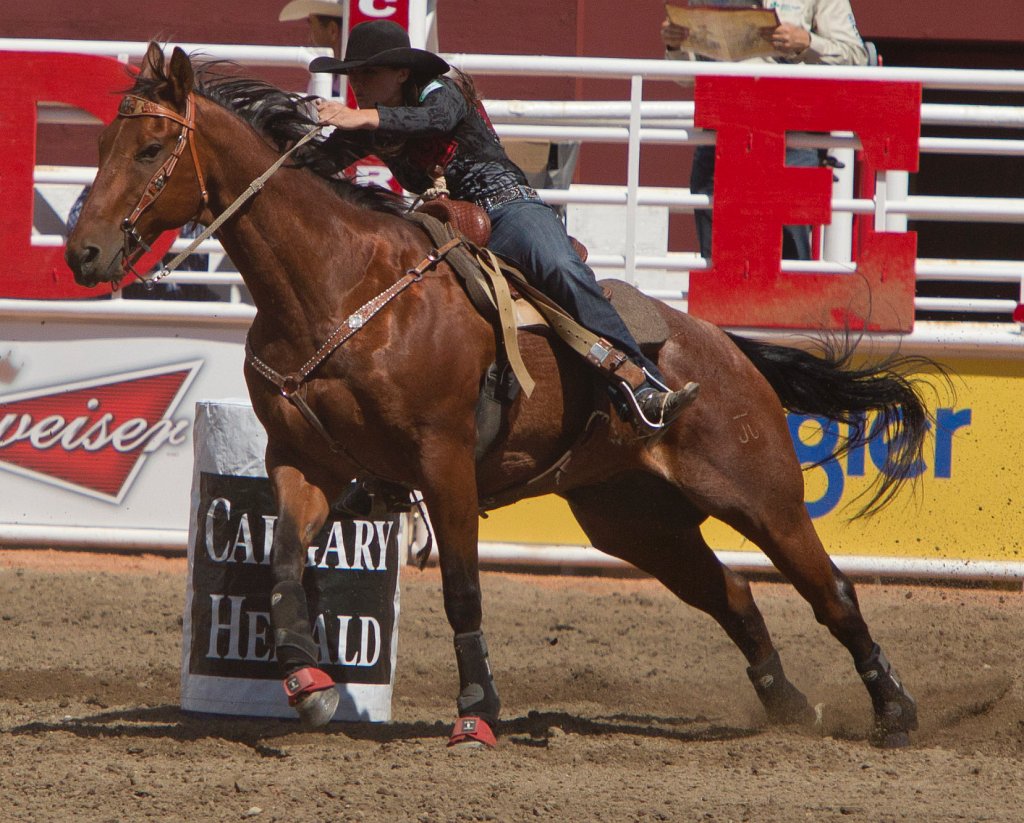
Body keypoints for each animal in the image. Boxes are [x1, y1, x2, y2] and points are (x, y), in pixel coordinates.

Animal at [64, 45, 929, 749]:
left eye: (151, 148)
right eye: (101, 146)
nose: (84, 251)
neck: (338, 284)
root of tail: (725, 348)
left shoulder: (444, 461)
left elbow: (462, 588)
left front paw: (476, 711)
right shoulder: (301, 457)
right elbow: (280, 563)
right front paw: (309, 685)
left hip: (758, 491)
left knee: (831, 590)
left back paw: (894, 712)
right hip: (634, 517)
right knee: (735, 593)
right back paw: (786, 704)